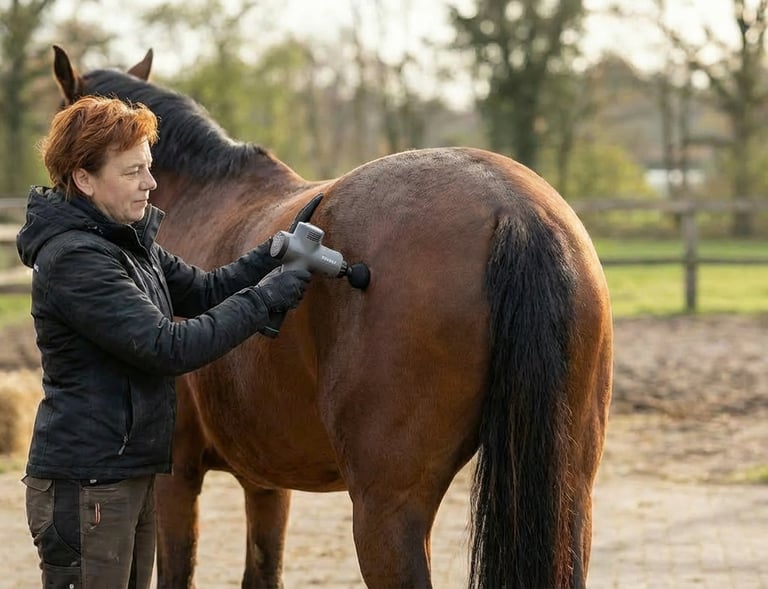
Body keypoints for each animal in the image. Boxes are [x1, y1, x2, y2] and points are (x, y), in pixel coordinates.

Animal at [51, 45, 613, 589]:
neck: (196, 195)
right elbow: (262, 573)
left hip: (386, 509)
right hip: (568, 499)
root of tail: (511, 208)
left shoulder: (177, 474)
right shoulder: (265, 480)